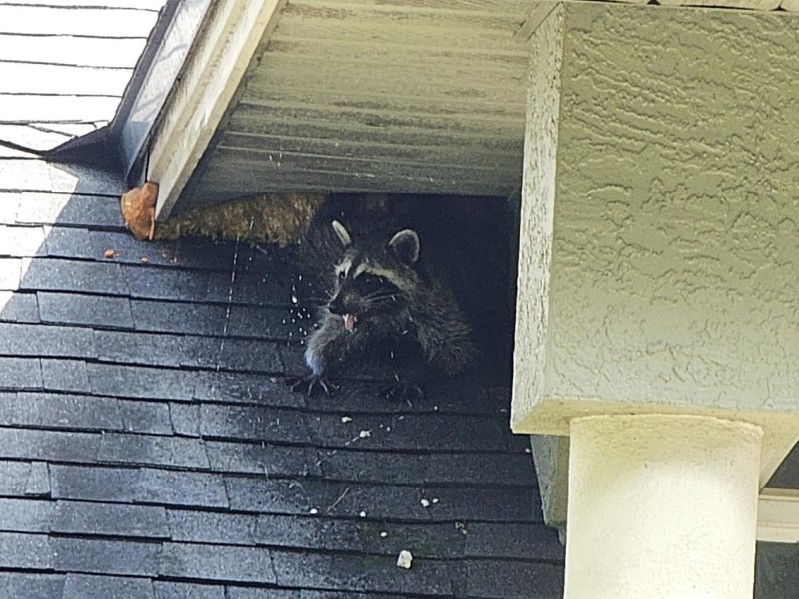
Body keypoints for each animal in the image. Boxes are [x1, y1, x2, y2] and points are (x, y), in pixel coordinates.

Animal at [290, 216, 476, 400]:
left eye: (367, 279)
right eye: (342, 275)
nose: (333, 307)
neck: (384, 311)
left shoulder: (437, 304)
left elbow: (453, 352)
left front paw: (418, 373)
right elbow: (325, 337)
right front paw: (319, 368)